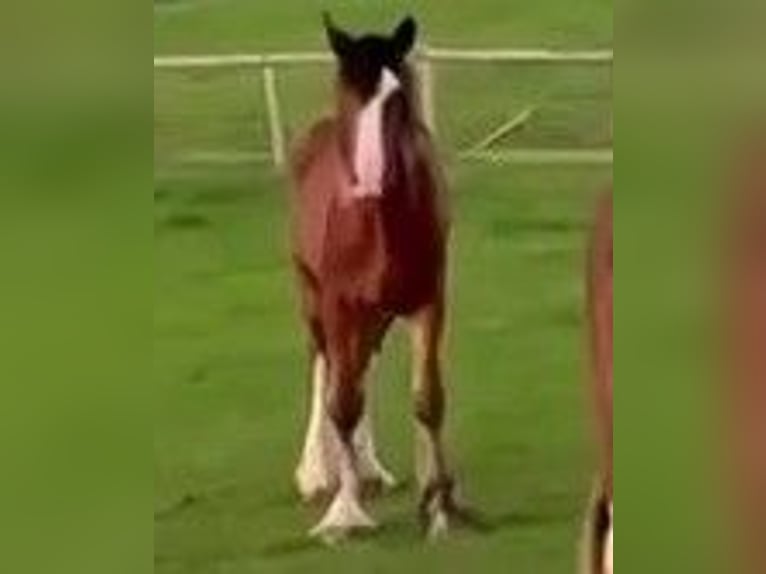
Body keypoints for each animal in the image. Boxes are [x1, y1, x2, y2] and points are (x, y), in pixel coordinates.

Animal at [289, 14, 456, 542]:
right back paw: (317, 473)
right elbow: (341, 400)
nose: (367, 180)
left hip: (376, 313)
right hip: (313, 296)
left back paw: (369, 469)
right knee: (326, 367)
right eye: (346, 91)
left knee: (362, 364)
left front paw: (440, 509)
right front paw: (344, 513)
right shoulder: (339, 303)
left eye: (396, 96)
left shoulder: (428, 299)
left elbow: (428, 399)